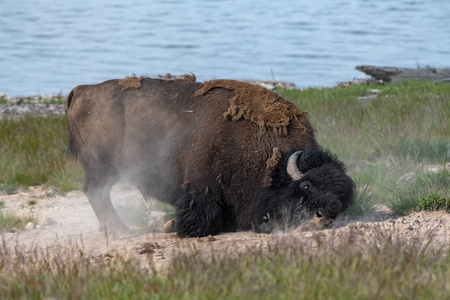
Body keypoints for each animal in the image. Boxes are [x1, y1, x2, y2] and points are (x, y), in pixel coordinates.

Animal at [67, 75, 356, 237]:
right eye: (305, 185)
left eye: (342, 200)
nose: (322, 218)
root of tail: (82, 90)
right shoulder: (202, 190)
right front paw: (177, 227)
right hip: (102, 165)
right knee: (97, 192)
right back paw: (121, 231)